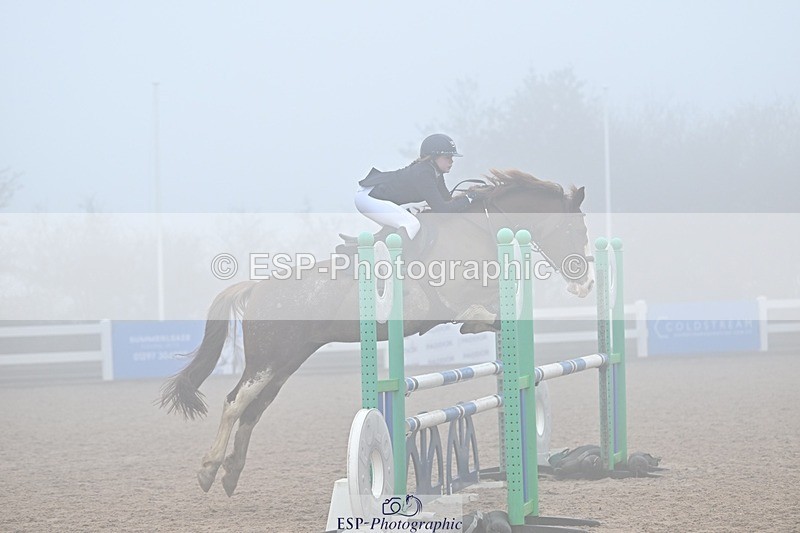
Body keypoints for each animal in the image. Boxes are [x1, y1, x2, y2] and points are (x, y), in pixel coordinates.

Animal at [159, 168, 595, 496]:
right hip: (267, 360)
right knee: (235, 403)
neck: (482, 228)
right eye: (576, 232)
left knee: (255, 409)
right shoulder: (458, 302)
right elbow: (479, 317)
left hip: (285, 363)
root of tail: (256, 288)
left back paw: (231, 474)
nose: (585, 284)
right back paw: (209, 469)